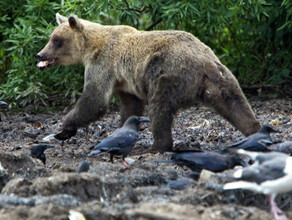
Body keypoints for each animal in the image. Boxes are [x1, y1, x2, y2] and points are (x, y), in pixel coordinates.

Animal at [36, 12, 260, 152]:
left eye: (56, 40)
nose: (40, 54)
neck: (90, 47)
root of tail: (205, 63)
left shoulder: (103, 64)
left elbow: (95, 100)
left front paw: (64, 127)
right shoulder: (124, 81)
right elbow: (130, 106)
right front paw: (122, 129)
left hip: (168, 75)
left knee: (160, 108)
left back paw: (157, 146)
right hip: (222, 78)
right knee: (236, 104)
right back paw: (254, 130)